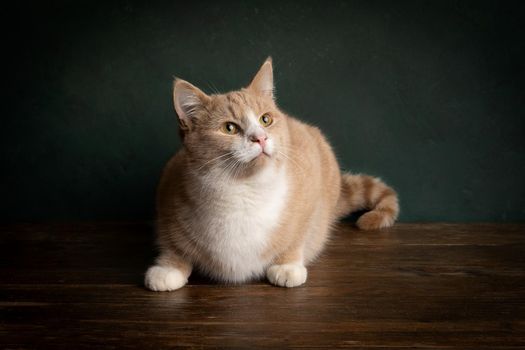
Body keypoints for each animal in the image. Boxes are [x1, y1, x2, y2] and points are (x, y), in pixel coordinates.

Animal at [143, 58, 398, 292]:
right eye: (229, 128)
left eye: (265, 119)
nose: (260, 138)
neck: (243, 191)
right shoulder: (168, 194)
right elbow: (172, 242)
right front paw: (169, 268)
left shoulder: (310, 194)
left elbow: (298, 235)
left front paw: (287, 265)